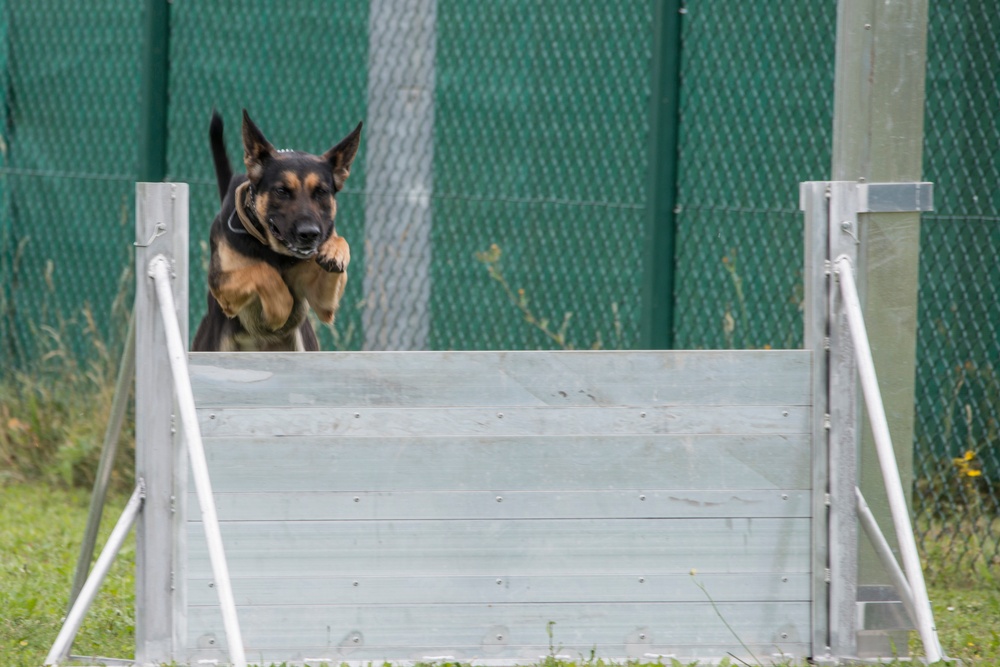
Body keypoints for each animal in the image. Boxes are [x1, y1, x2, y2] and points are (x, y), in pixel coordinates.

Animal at [190, 109, 360, 352]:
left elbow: (340, 242)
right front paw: (278, 310)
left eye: (321, 192)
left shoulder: (324, 304)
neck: (276, 252)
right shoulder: (221, 283)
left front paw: (335, 251)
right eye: (282, 191)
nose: (310, 234)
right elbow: (264, 271)